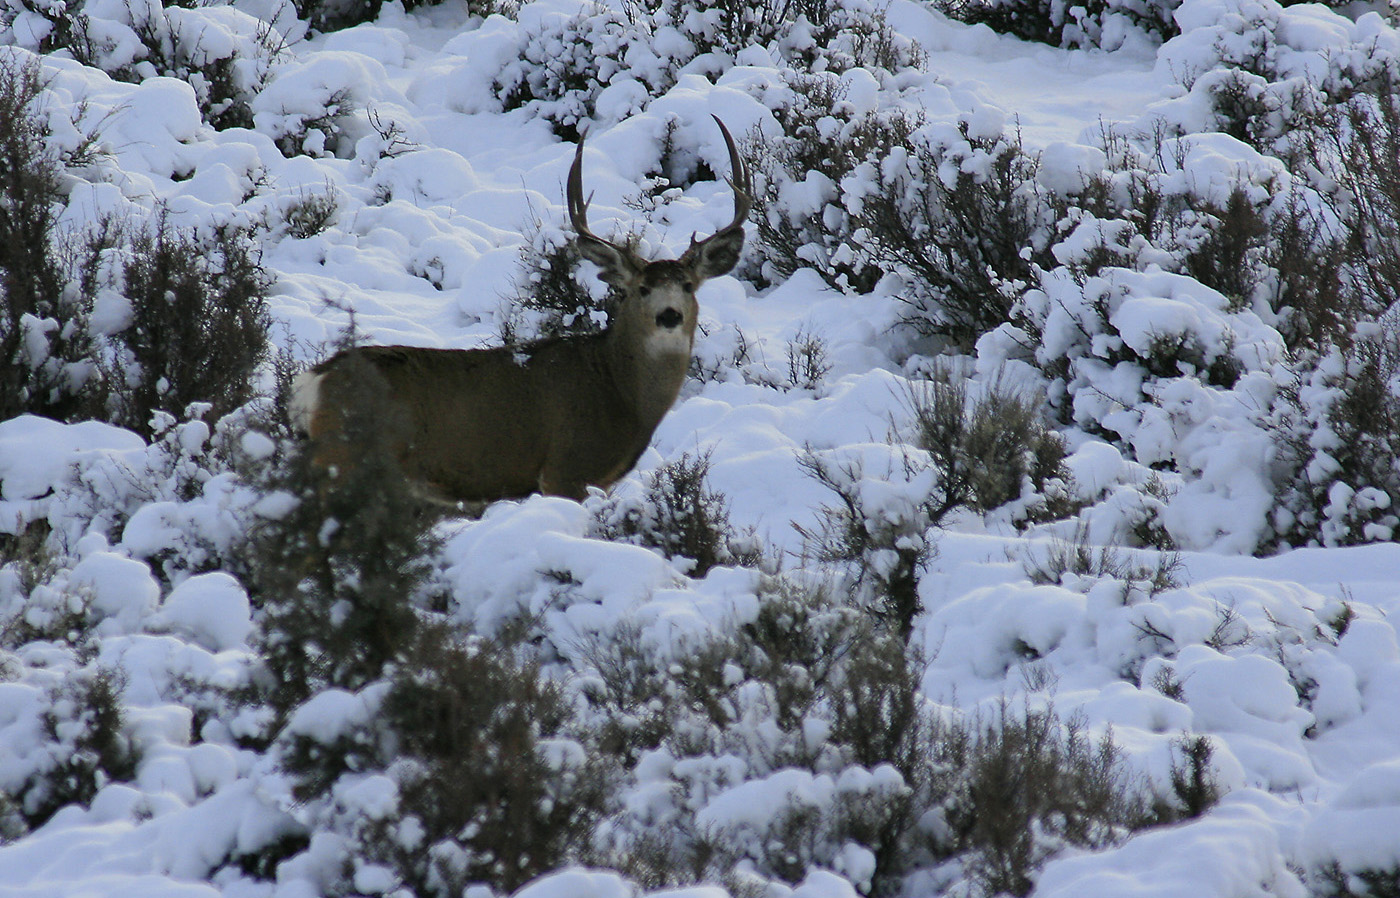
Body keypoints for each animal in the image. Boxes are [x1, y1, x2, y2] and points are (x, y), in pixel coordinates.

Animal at [291, 116, 750, 508]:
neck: (619, 389)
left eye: (688, 286)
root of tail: (312, 383)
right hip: (345, 461)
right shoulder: (566, 468)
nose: (669, 315)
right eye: (642, 289)